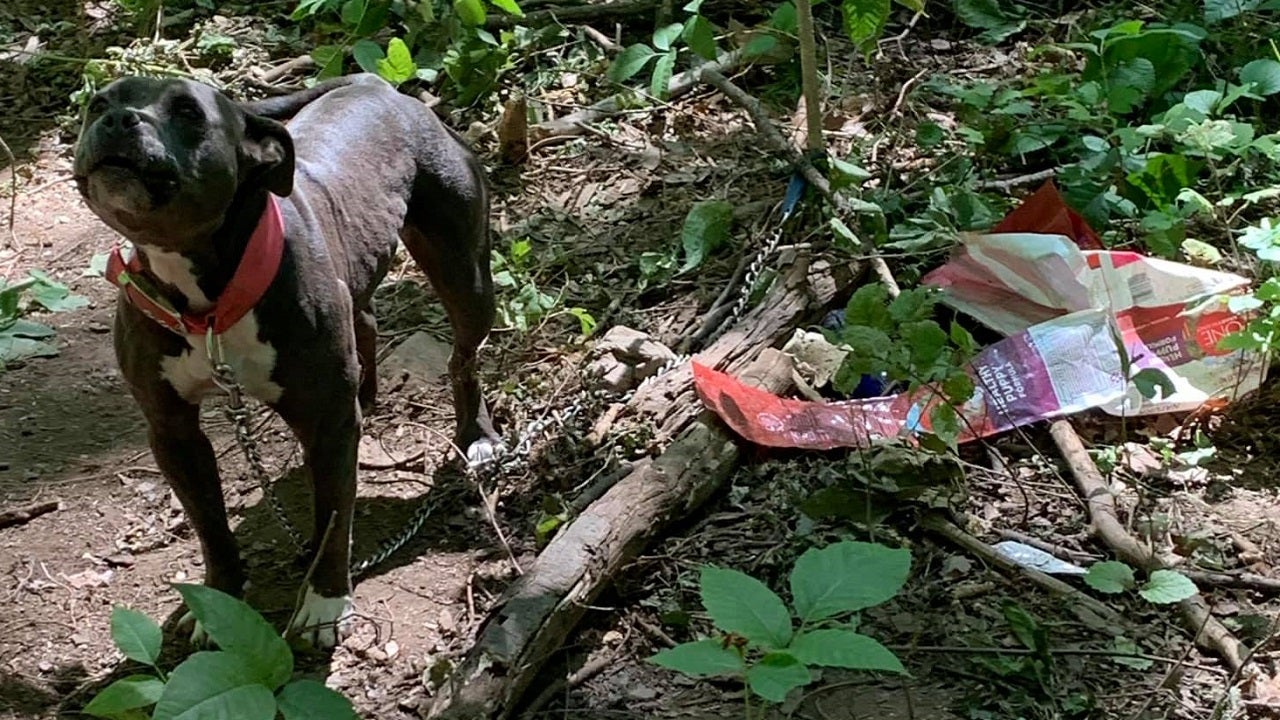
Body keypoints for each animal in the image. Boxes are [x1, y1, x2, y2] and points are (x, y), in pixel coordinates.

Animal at [72, 73, 504, 645]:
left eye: (188, 112)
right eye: (98, 104)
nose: (118, 120)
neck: (206, 300)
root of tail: (379, 85)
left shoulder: (327, 422)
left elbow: (333, 518)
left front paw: (325, 601)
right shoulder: (172, 431)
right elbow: (210, 525)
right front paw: (219, 599)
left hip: (464, 273)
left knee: (463, 357)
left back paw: (477, 434)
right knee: (366, 326)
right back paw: (368, 394)